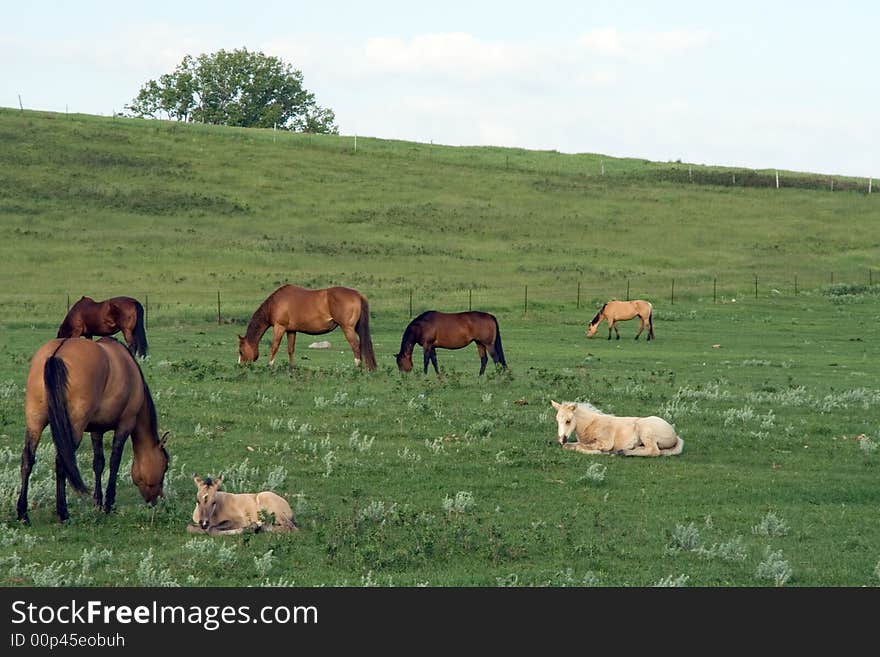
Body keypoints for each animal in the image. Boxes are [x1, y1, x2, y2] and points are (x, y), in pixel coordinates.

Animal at [18, 338, 170, 524]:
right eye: (165, 466)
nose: (157, 499)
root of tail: (56, 353)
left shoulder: (96, 430)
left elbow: (98, 463)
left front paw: (97, 502)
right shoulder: (125, 424)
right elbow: (114, 461)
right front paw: (108, 504)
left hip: (35, 422)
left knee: (27, 459)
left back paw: (23, 514)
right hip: (74, 427)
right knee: (61, 461)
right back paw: (63, 513)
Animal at [239, 284, 376, 372]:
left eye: (240, 351)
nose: (240, 365)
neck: (276, 303)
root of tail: (357, 294)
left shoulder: (279, 327)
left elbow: (274, 347)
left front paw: (270, 365)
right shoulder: (291, 331)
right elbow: (290, 349)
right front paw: (291, 368)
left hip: (348, 328)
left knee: (356, 347)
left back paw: (357, 368)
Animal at [552, 400, 688, 456]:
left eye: (568, 421)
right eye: (557, 420)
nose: (561, 439)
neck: (592, 424)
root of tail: (675, 435)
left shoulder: (605, 443)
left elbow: (581, 447)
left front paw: (602, 453)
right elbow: (570, 446)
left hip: (645, 430)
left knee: (654, 451)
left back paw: (623, 452)